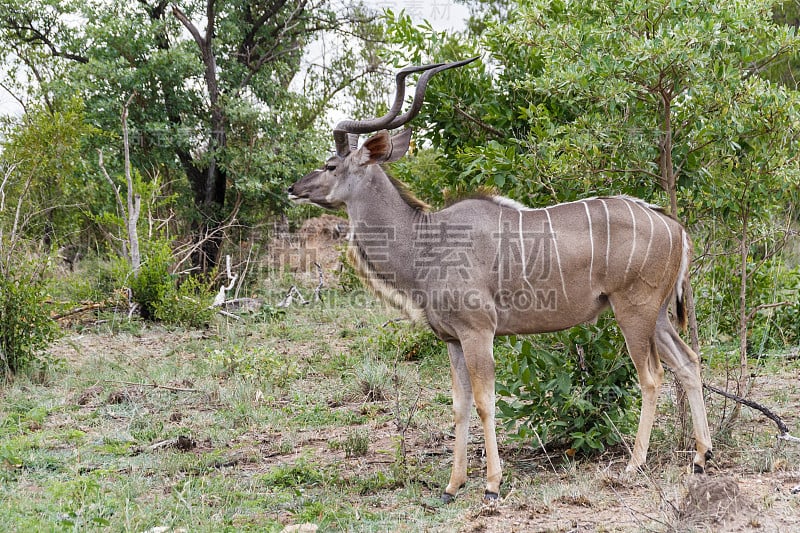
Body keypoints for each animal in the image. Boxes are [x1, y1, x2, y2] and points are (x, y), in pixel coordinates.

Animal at [288, 60, 712, 500]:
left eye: (330, 165)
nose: (293, 188)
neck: (426, 240)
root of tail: (676, 228)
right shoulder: (452, 339)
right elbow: (458, 405)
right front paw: (453, 484)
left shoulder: (478, 331)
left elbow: (483, 400)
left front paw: (492, 483)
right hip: (657, 315)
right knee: (688, 361)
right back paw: (701, 458)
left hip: (633, 310)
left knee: (653, 376)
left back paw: (634, 465)